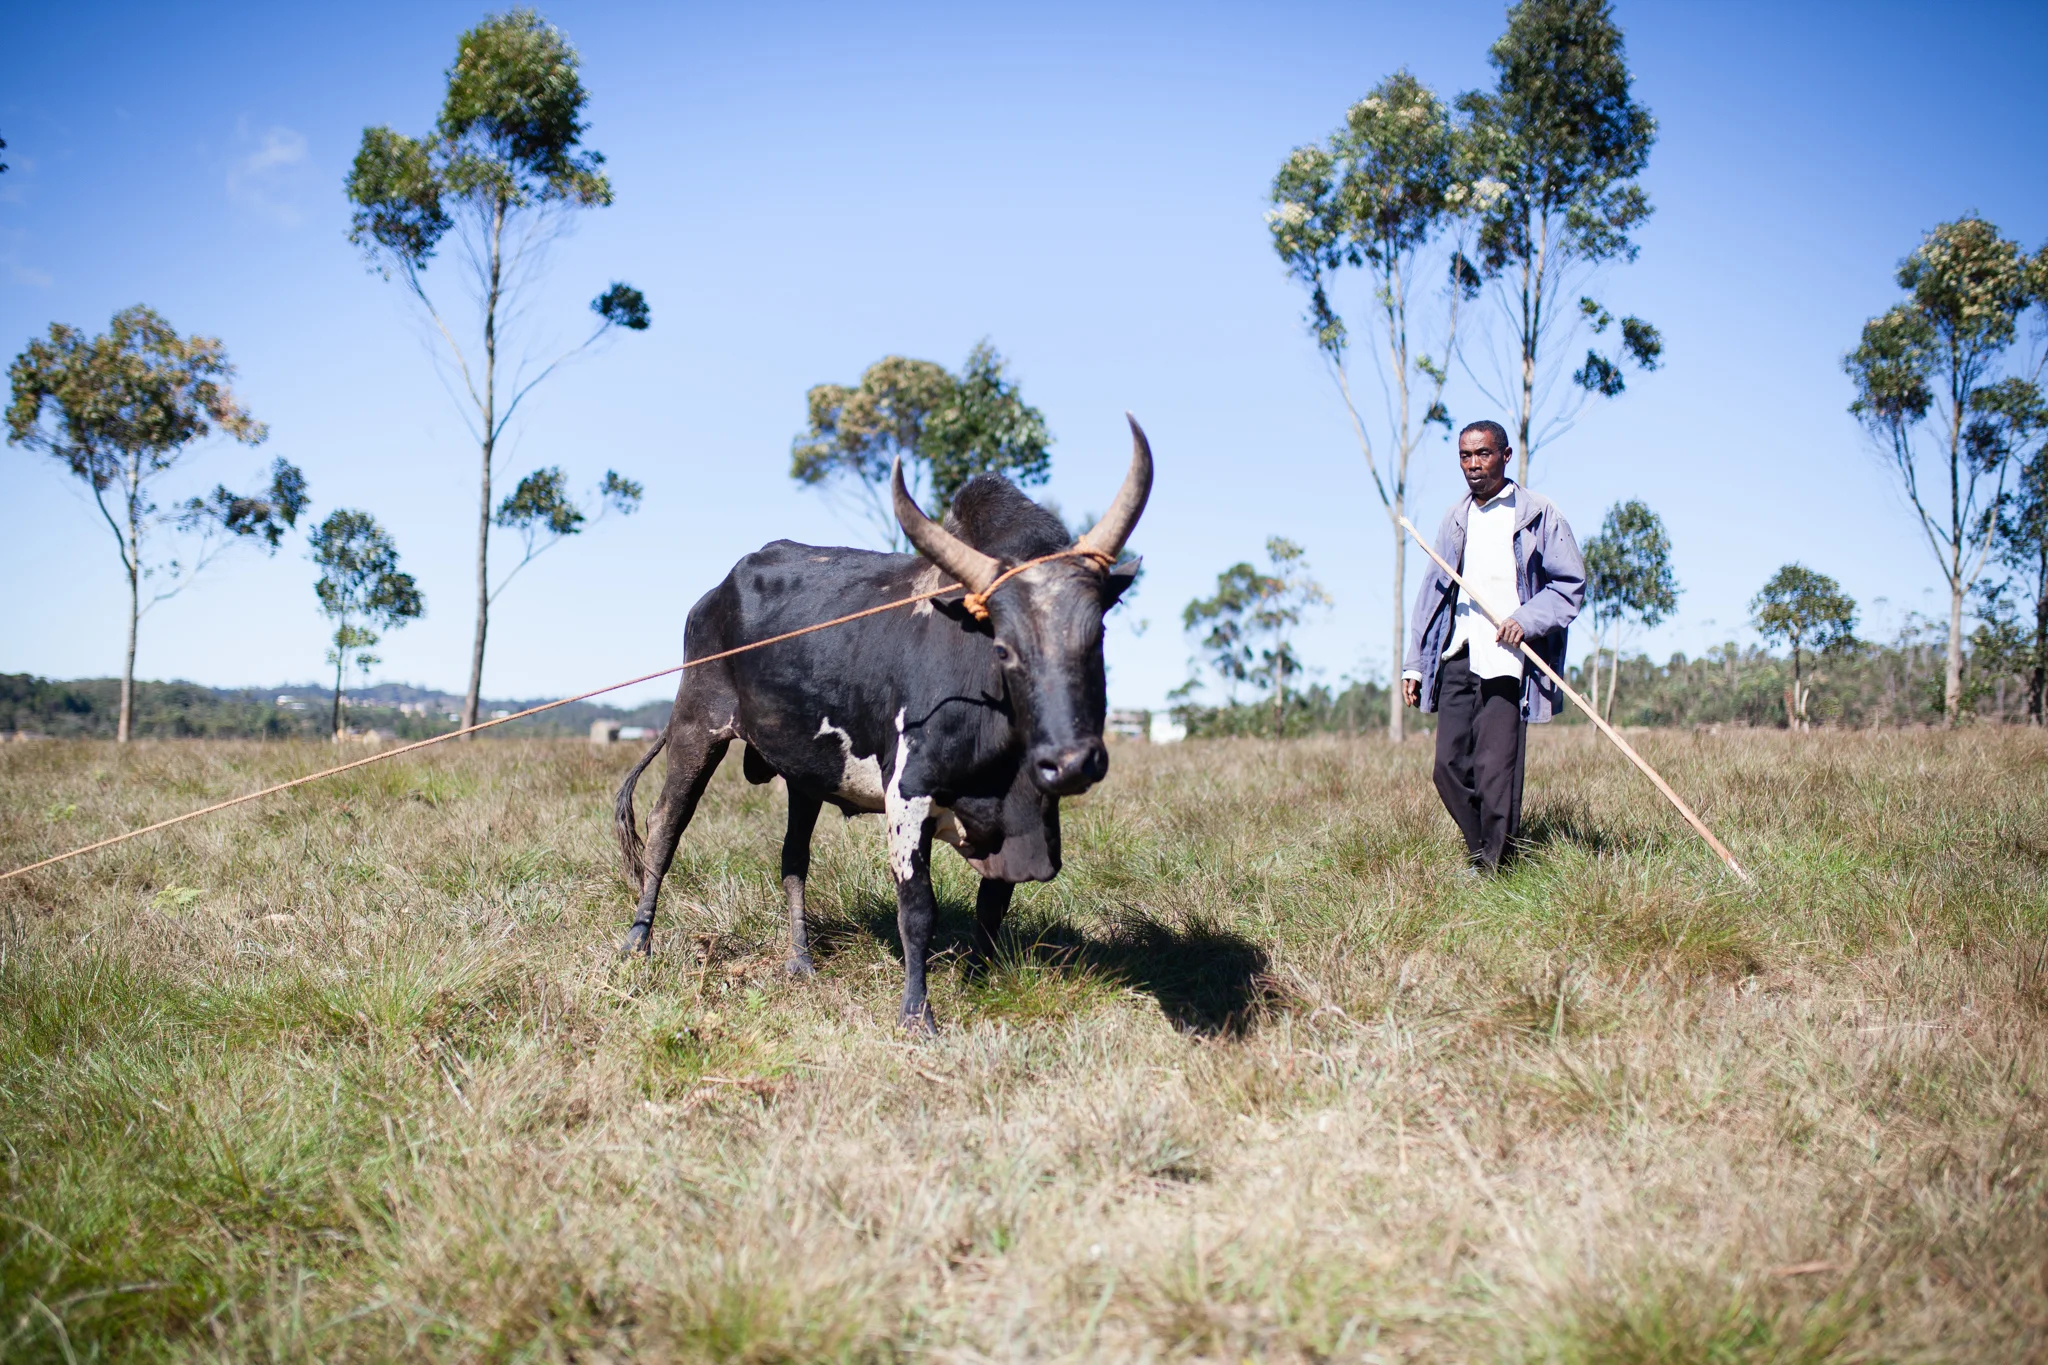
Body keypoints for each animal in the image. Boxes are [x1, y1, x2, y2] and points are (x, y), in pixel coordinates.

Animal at [614, 418, 1152, 1029]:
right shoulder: (907, 796)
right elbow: (918, 912)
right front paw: (917, 1014)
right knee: (665, 827)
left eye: (1097, 633)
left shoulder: (1026, 816)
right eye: (1004, 647)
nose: (1072, 762)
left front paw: (979, 981)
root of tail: (713, 594)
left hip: (806, 771)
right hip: (696, 726)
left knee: (793, 857)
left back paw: (800, 960)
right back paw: (638, 942)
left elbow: (992, 905)